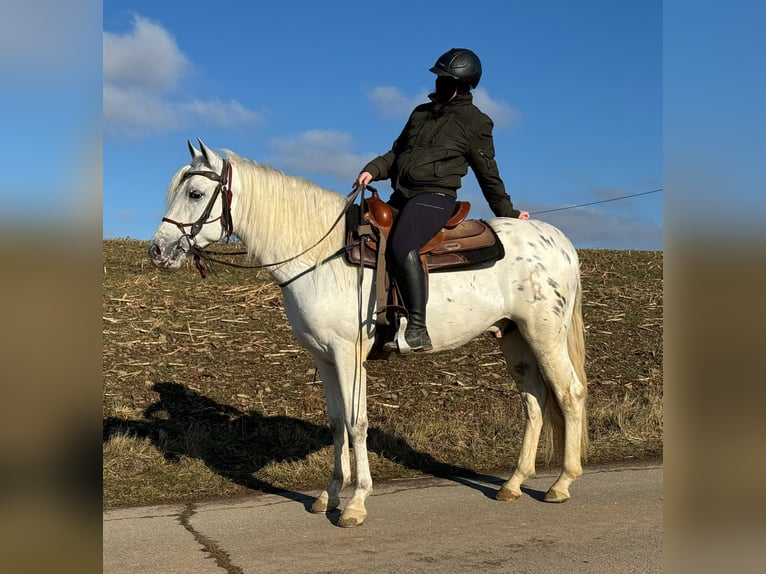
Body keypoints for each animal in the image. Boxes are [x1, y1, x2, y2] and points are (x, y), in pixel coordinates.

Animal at [152, 141, 592, 532]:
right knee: (534, 402)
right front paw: (329, 494)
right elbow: (335, 423)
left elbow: (356, 422)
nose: (158, 250)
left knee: (569, 394)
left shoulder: (349, 355)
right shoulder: (323, 357)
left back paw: (561, 483)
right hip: (515, 340)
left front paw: (356, 502)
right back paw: (514, 483)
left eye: (195, 193)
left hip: (545, 336)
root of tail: (560, 242)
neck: (319, 256)